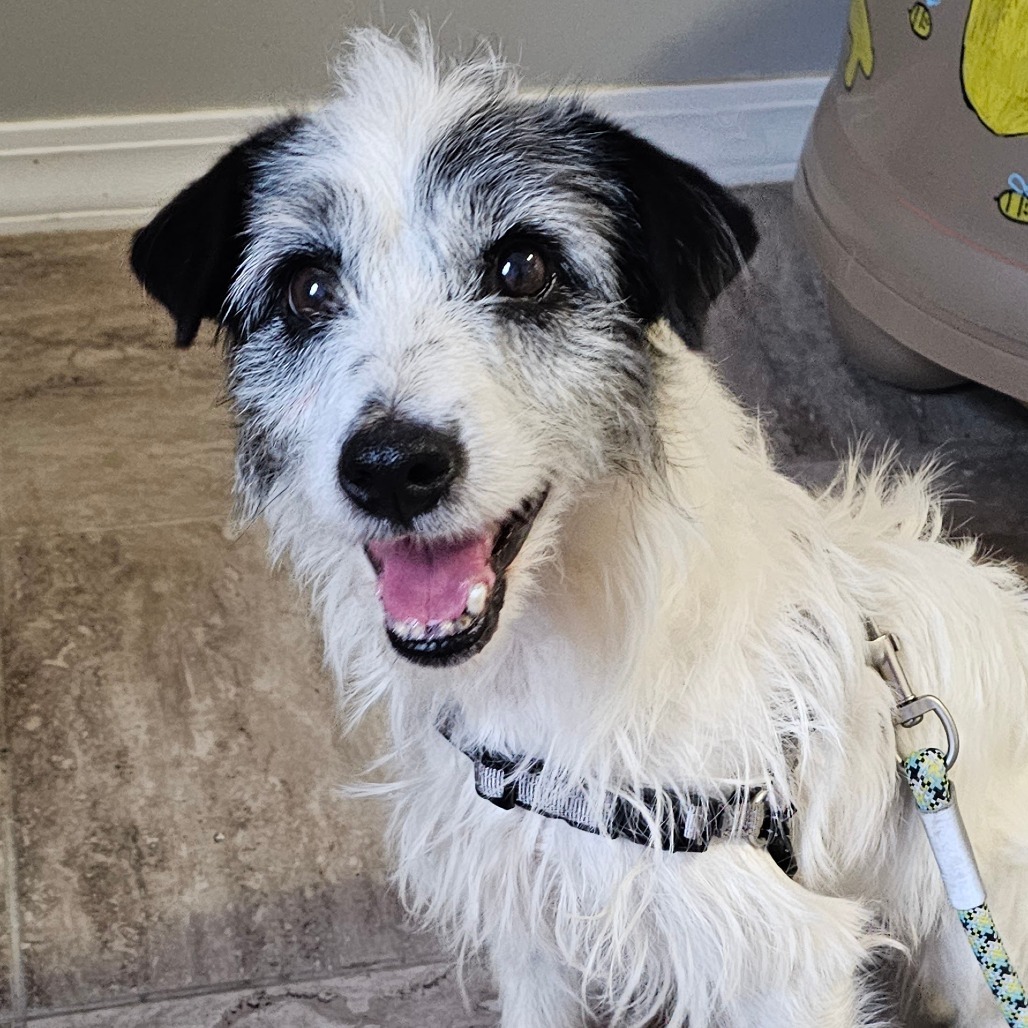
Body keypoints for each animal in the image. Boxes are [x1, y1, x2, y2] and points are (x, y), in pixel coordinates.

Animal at [128, 28, 1028, 1023]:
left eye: (524, 269)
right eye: (307, 287)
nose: (392, 469)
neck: (556, 653)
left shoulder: (777, 953)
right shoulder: (528, 925)